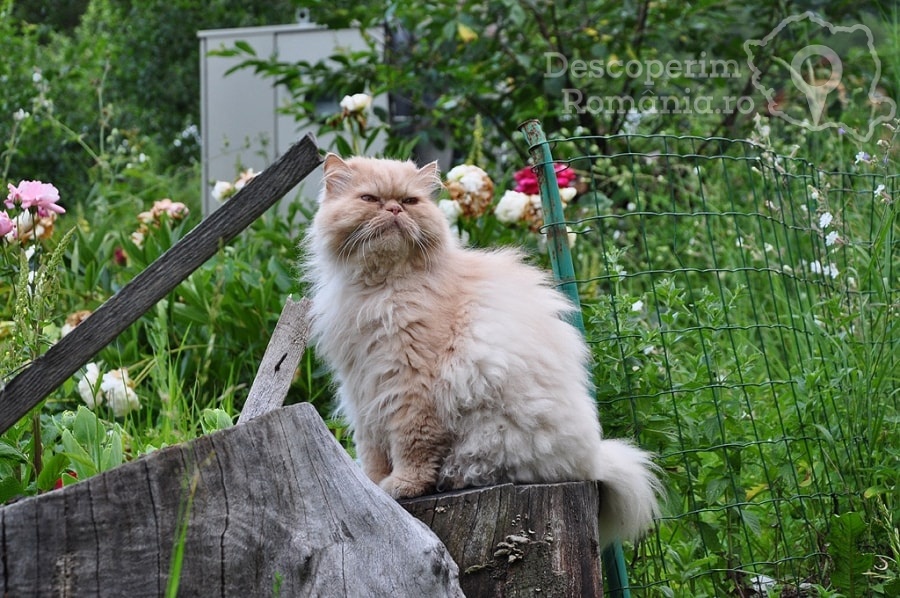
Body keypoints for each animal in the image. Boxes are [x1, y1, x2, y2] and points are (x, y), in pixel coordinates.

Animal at [304, 155, 660, 548]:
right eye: (370, 199)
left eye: (410, 201)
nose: (395, 209)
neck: (380, 289)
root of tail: (593, 460)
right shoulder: (363, 385)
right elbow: (372, 449)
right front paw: (370, 485)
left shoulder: (410, 383)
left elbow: (411, 444)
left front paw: (402, 485)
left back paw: (453, 477)